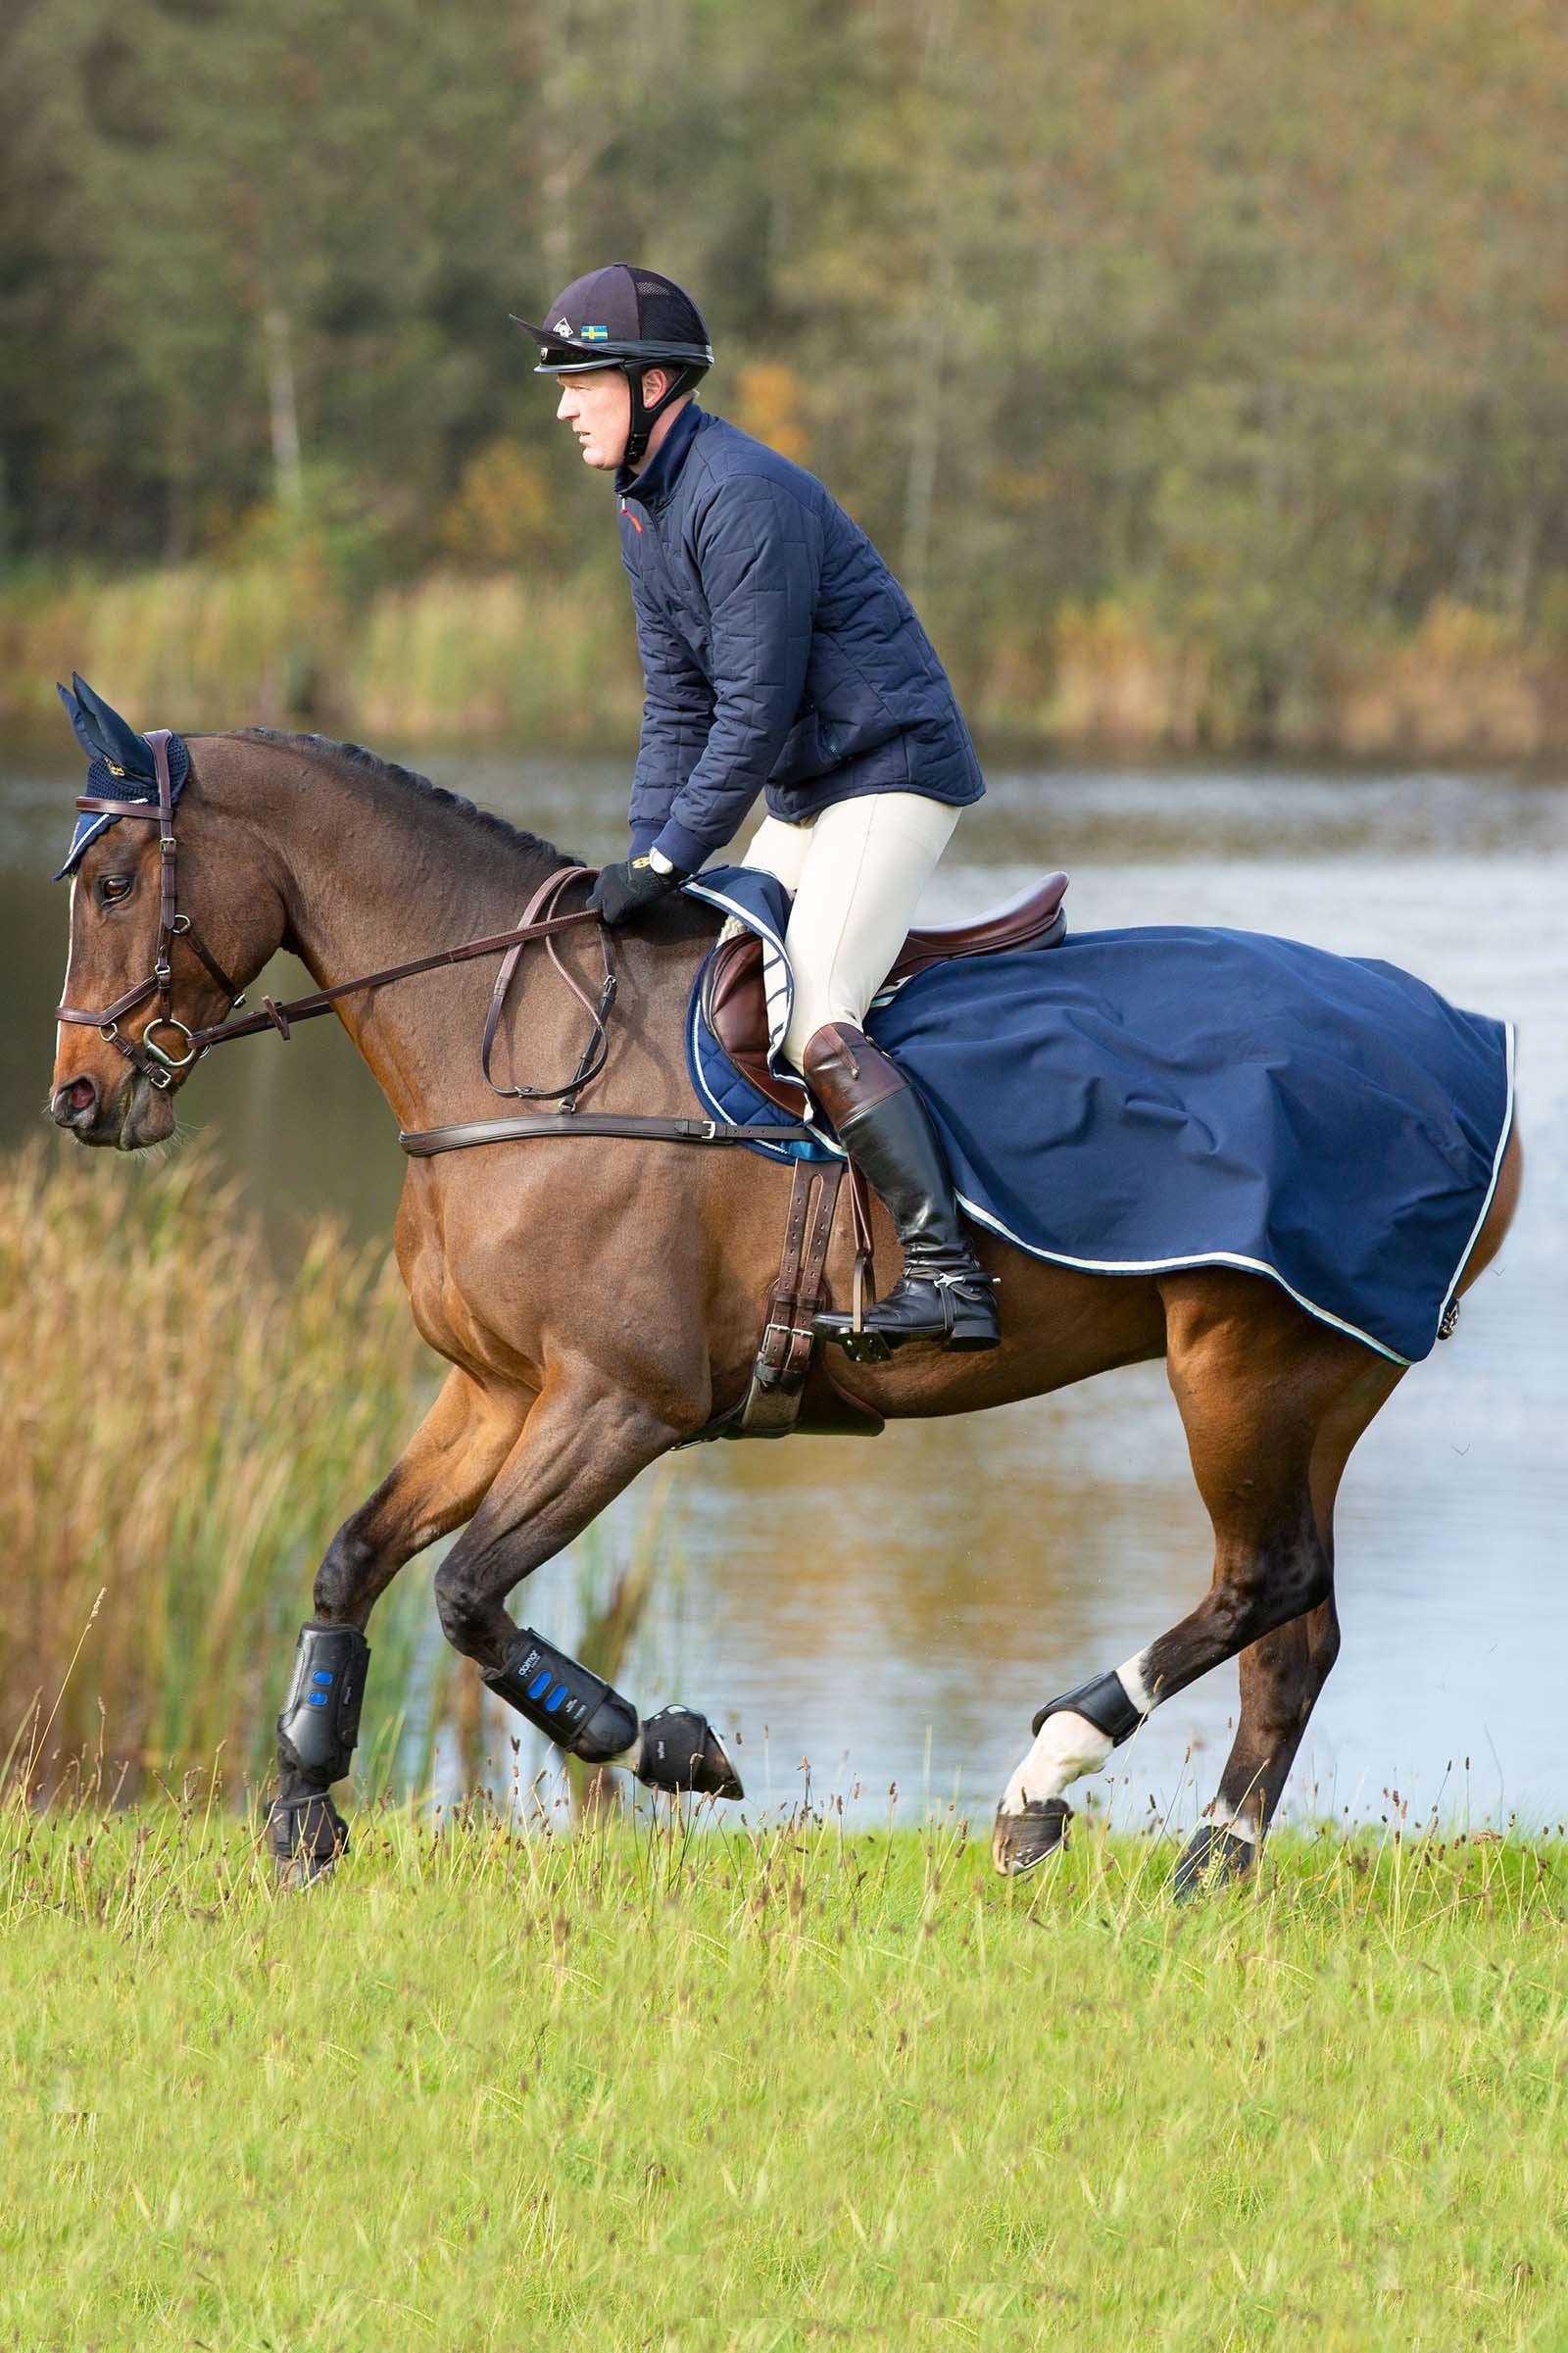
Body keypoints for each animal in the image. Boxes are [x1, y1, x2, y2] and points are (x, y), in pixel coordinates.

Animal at [45, 688, 1523, 1890]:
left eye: (114, 882)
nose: (80, 1098)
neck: (523, 1054)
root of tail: (1462, 1043)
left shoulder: (617, 1405)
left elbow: (466, 1592)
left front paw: (660, 1742)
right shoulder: (493, 1391)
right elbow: (356, 1555)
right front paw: (304, 1806)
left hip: (1239, 1367)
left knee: (1258, 1582)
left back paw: (1041, 1777)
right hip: (1316, 1385)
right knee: (1295, 1629)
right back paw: (1212, 1864)